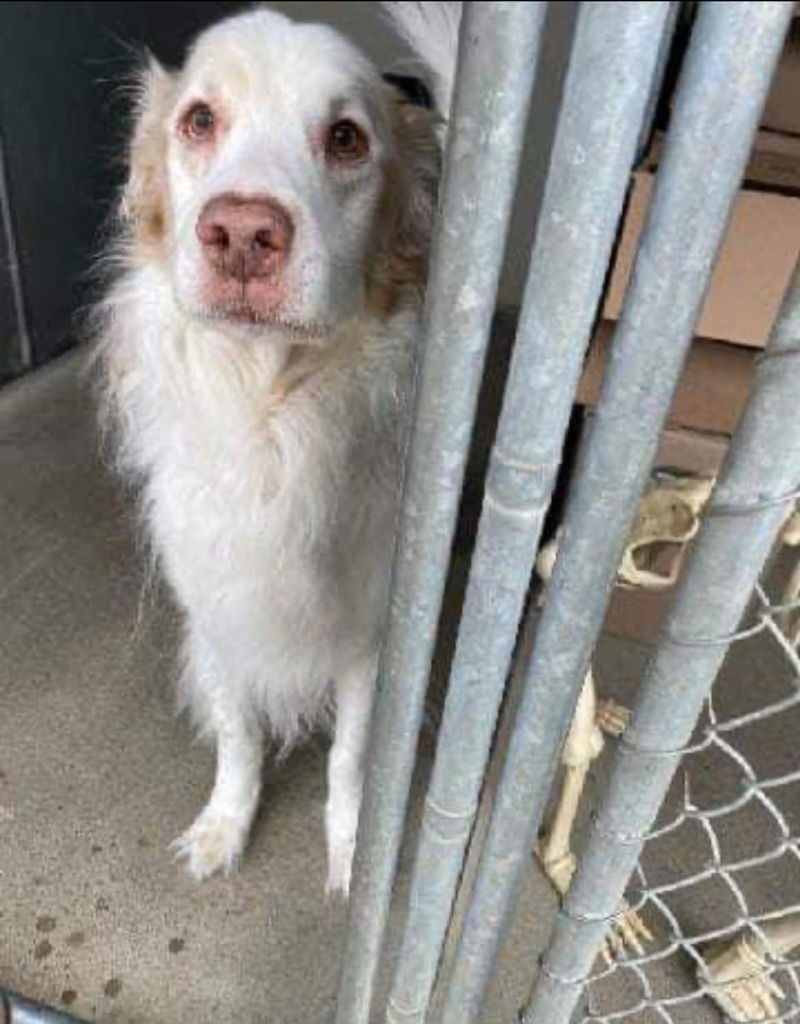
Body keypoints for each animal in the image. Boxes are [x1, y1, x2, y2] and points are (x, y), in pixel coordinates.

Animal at [94, 4, 458, 892]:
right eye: (199, 120)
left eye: (347, 138)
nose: (241, 234)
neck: (268, 413)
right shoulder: (218, 602)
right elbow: (238, 735)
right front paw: (225, 826)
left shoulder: (367, 633)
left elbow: (352, 757)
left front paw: (353, 852)